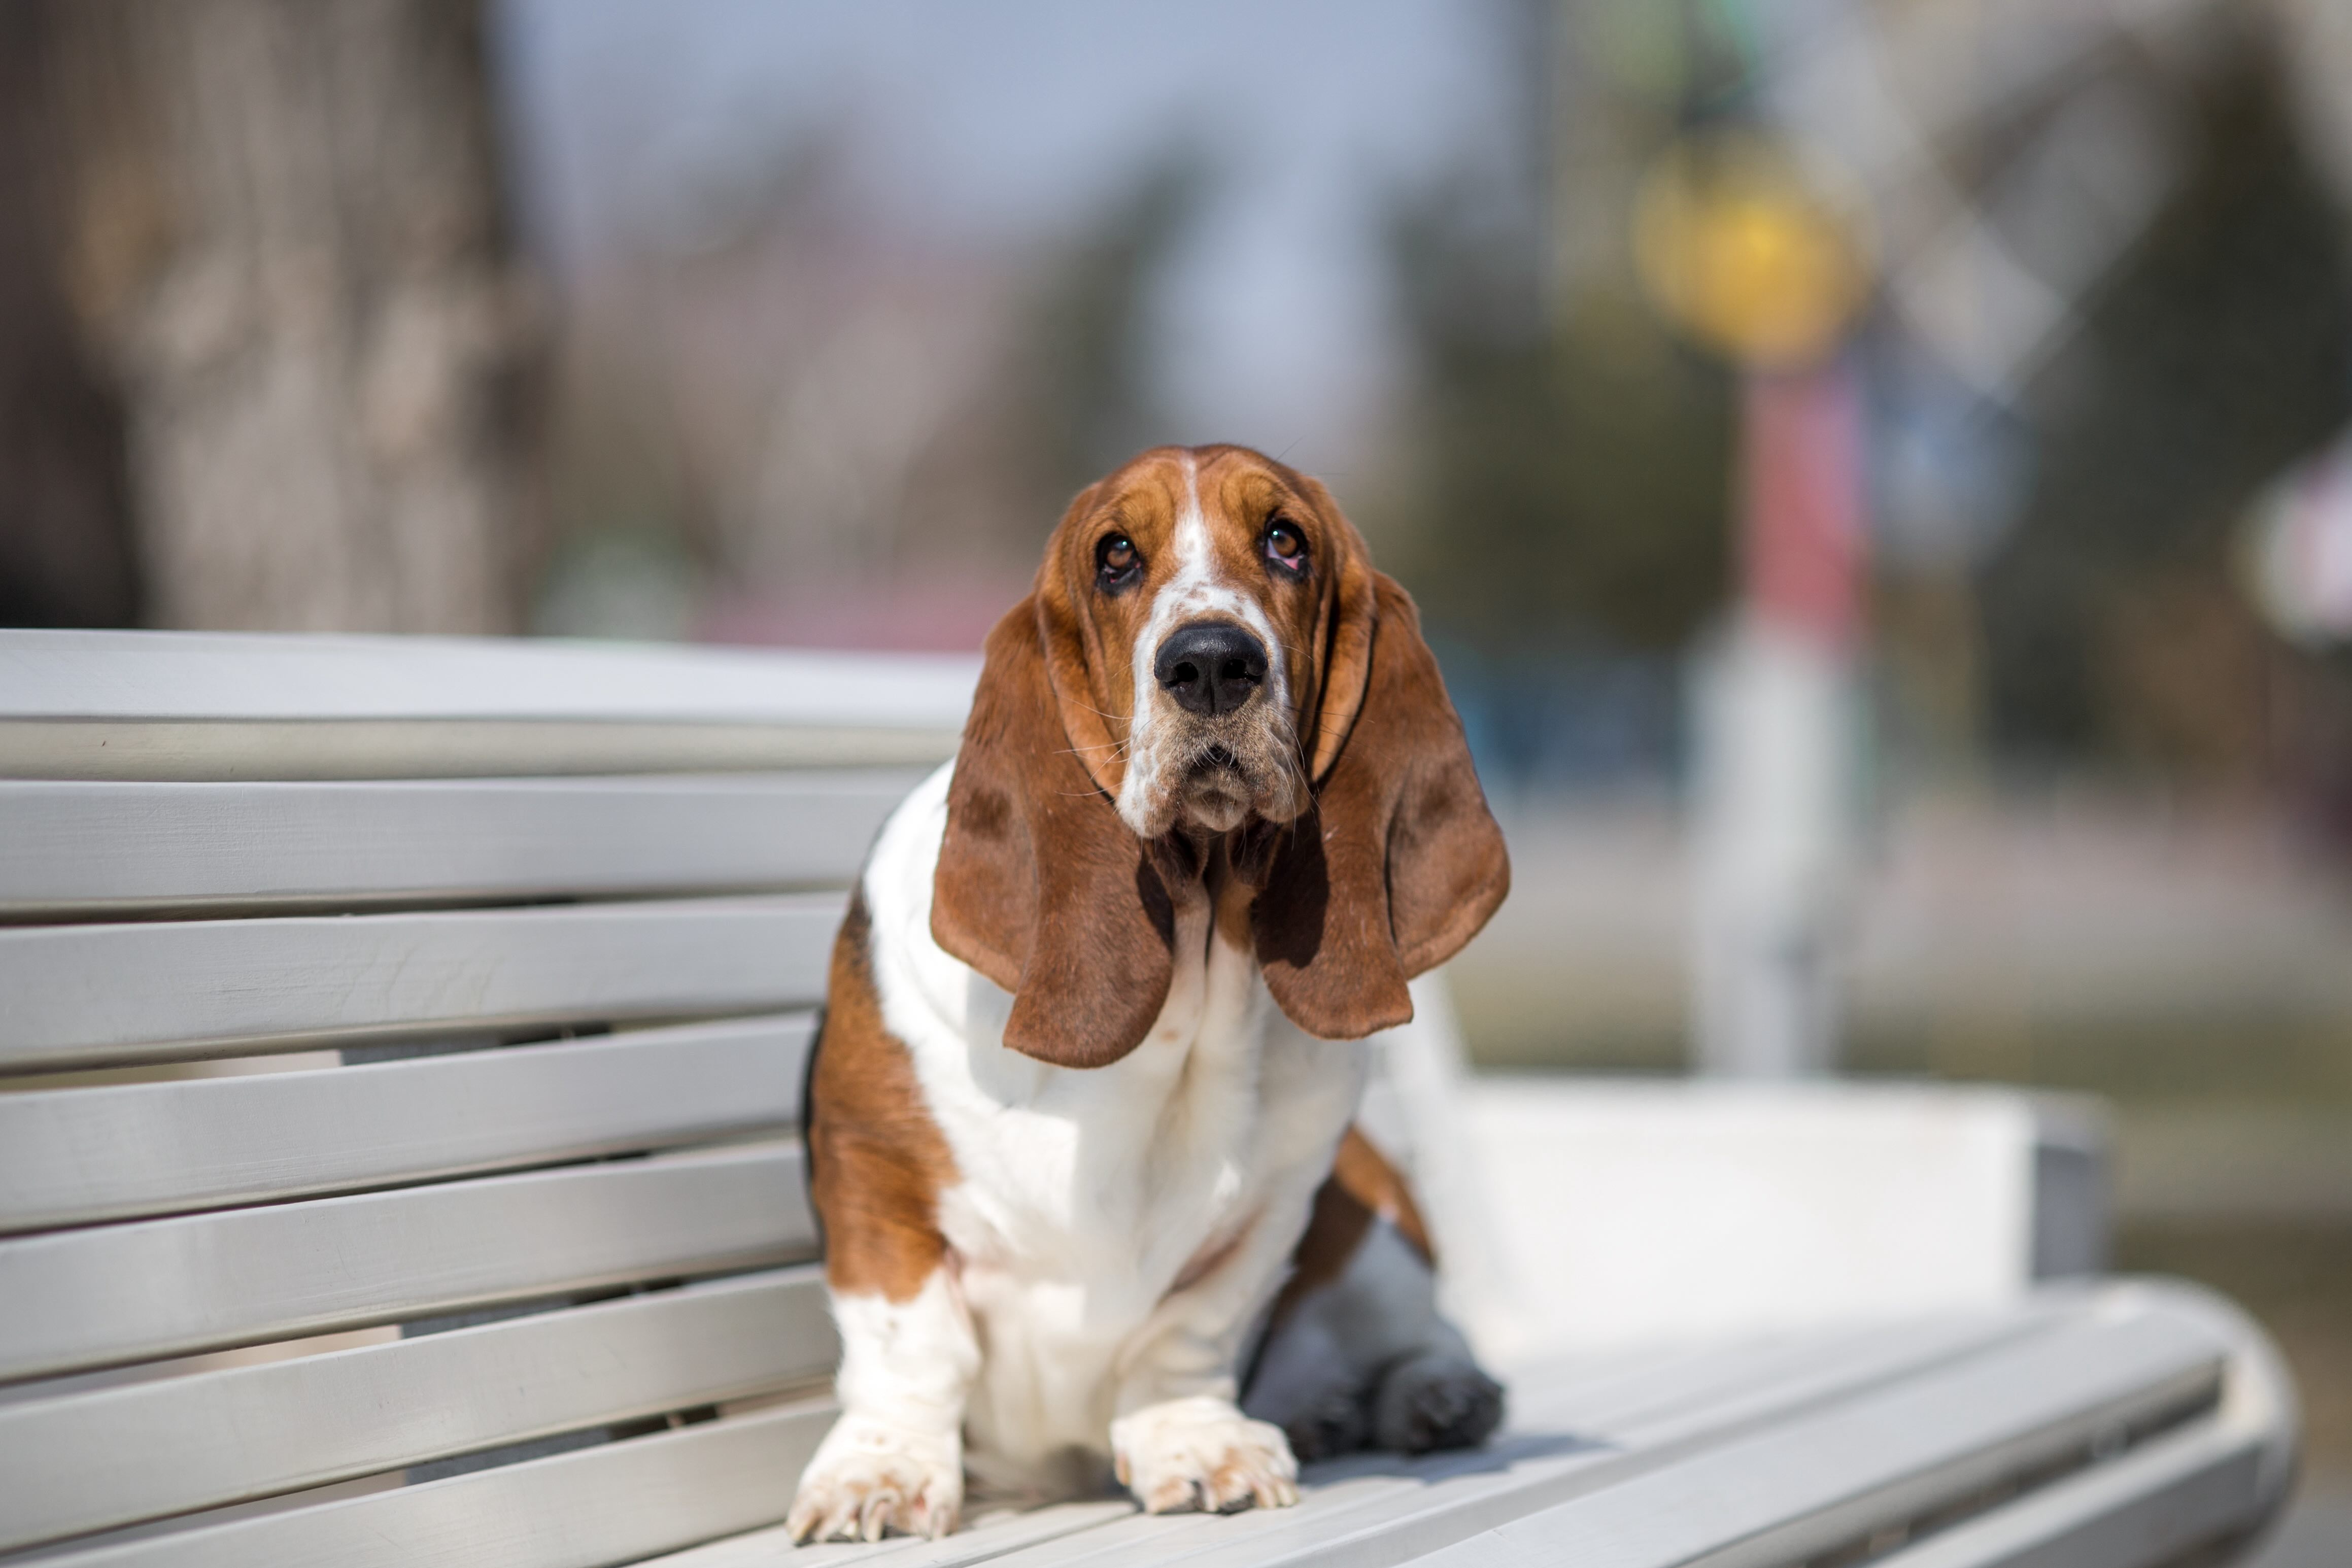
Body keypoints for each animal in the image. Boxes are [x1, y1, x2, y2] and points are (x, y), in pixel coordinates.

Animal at [780, 441, 1495, 1542]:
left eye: (1286, 541)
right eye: (1115, 556)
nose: (1210, 663)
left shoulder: (1273, 1212)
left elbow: (1184, 1337)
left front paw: (1196, 1445)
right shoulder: (872, 1179)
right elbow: (912, 1347)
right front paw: (881, 1473)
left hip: (1374, 1223)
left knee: (1427, 1330)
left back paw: (1431, 1396)